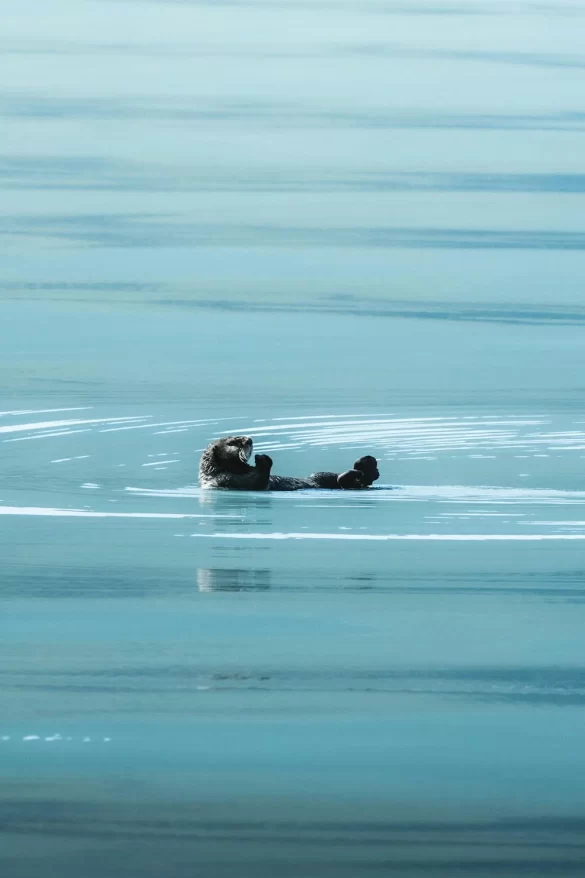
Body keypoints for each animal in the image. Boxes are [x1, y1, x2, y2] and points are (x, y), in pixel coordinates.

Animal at [199, 436, 380, 492]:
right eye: (232, 442)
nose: (249, 439)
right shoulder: (227, 480)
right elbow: (258, 481)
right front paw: (262, 458)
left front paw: (260, 457)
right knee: (348, 481)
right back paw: (363, 468)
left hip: (320, 475)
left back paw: (367, 464)